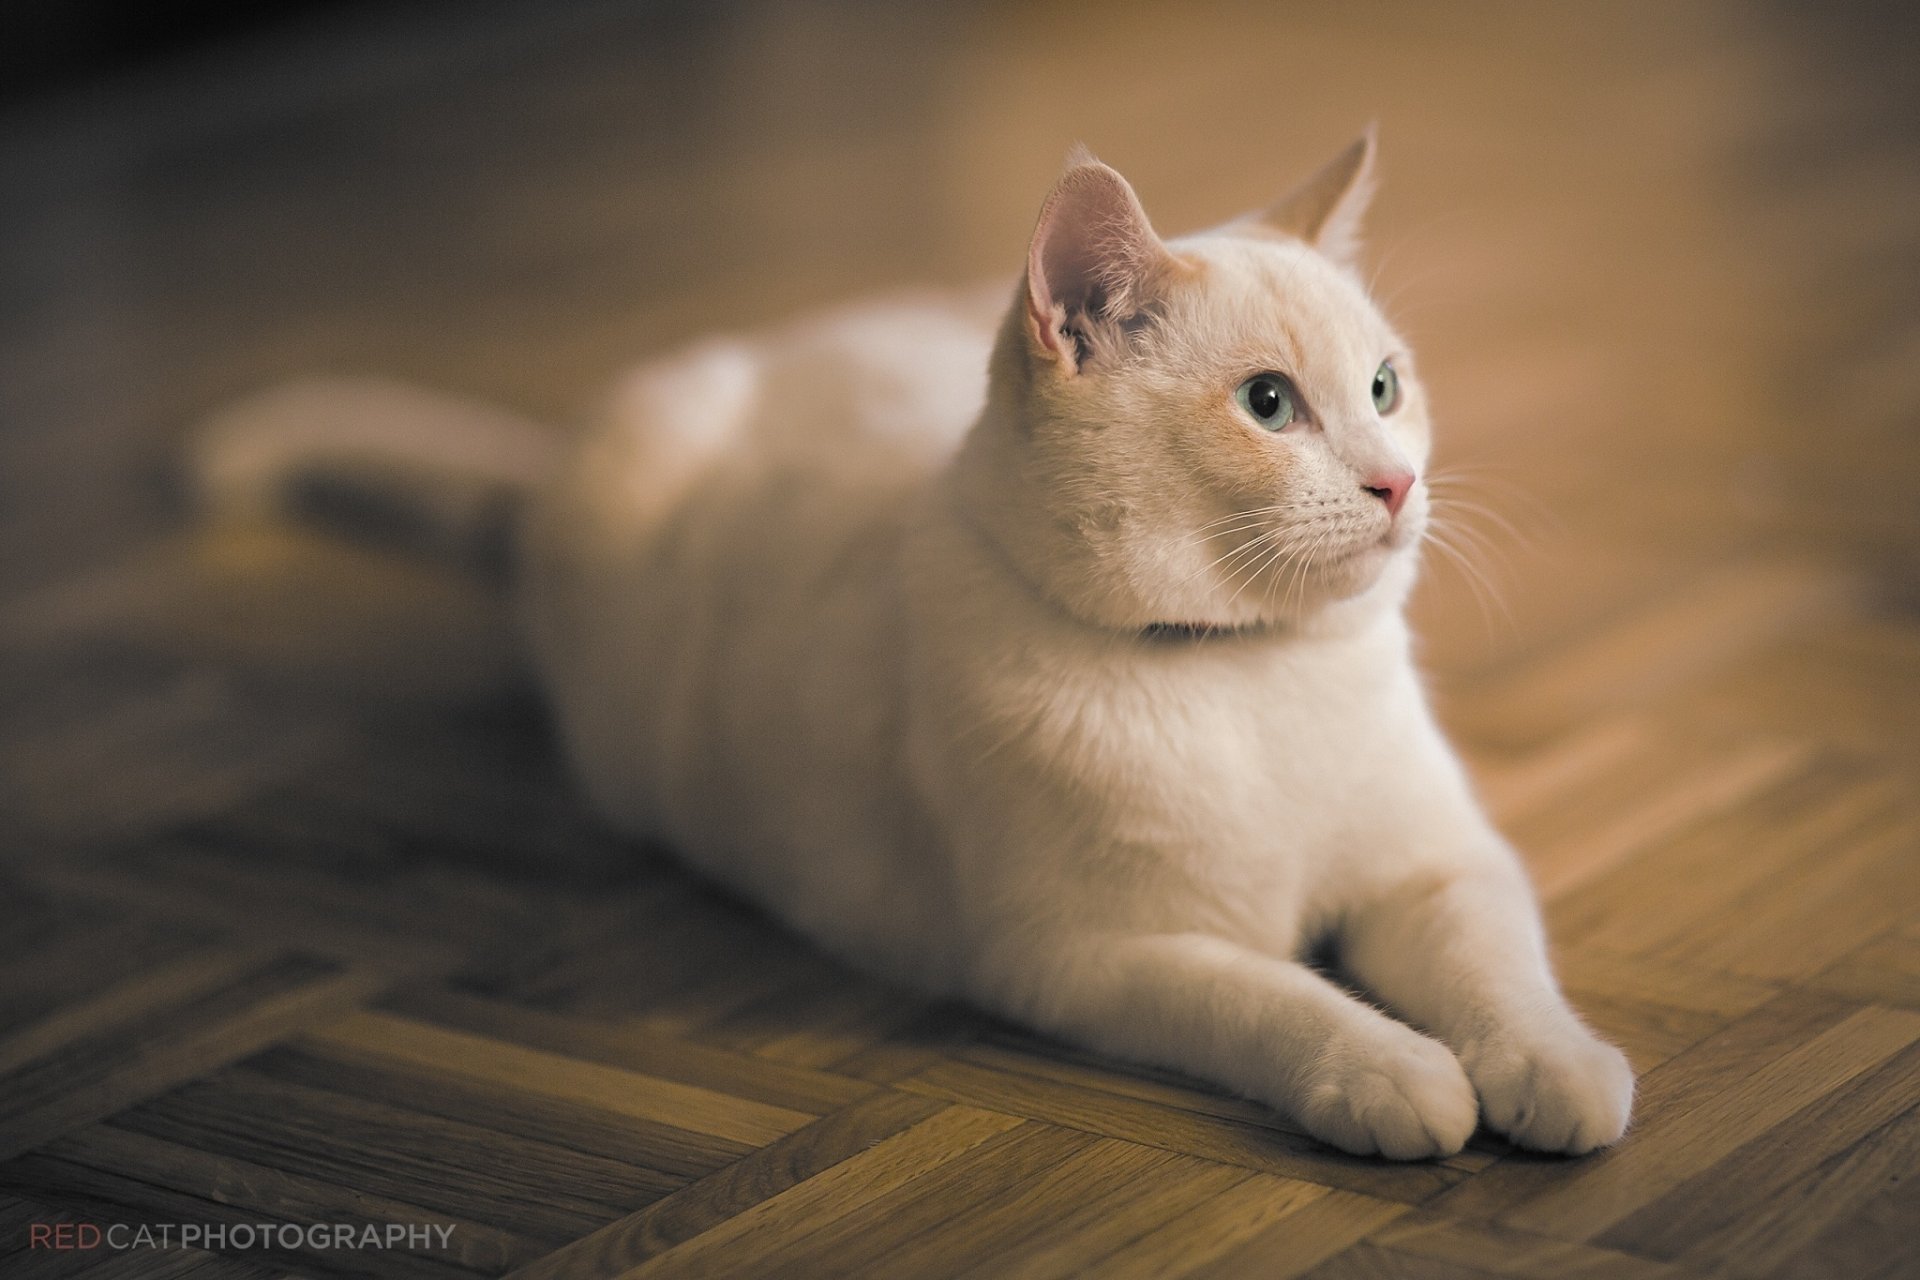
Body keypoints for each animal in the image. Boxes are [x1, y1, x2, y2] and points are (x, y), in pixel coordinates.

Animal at [194, 132, 1635, 1159]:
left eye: (1386, 387)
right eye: (1269, 406)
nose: (1399, 482)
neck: (1248, 673)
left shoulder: (1438, 865)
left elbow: (1501, 971)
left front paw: (1554, 1071)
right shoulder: (1092, 958)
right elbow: (1283, 1001)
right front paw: (1394, 1073)